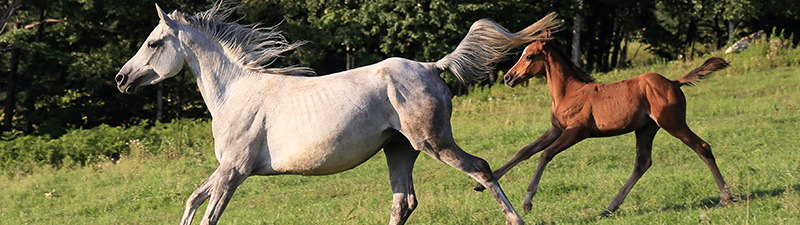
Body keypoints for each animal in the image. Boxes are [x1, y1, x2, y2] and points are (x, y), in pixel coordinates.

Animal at [115, 2, 560, 224]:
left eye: (154, 43)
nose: (121, 78)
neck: (235, 94)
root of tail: (432, 66)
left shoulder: (234, 171)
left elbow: (208, 213)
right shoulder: (229, 169)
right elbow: (193, 200)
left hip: (432, 142)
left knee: (481, 169)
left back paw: (517, 220)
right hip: (400, 149)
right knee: (404, 202)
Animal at [478, 38, 736, 216]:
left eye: (530, 56)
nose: (508, 78)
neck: (568, 93)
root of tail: (674, 82)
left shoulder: (577, 131)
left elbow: (545, 154)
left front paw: (527, 202)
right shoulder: (555, 130)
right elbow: (525, 151)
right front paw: (483, 182)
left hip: (672, 122)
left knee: (702, 147)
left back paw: (726, 197)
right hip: (646, 129)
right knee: (642, 163)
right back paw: (609, 208)